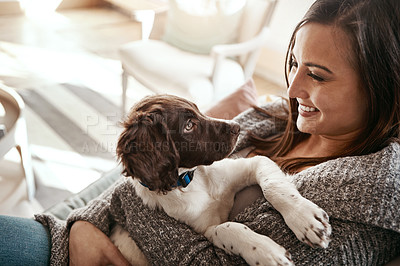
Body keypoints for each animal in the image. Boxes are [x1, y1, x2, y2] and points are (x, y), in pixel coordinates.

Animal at [112, 94, 332, 264]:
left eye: (198, 110)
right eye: (189, 125)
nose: (237, 127)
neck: (193, 181)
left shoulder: (255, 163)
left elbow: (273, 187)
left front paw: (305, 219)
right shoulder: (205, 231)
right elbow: (227, 228)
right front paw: (266, 252)